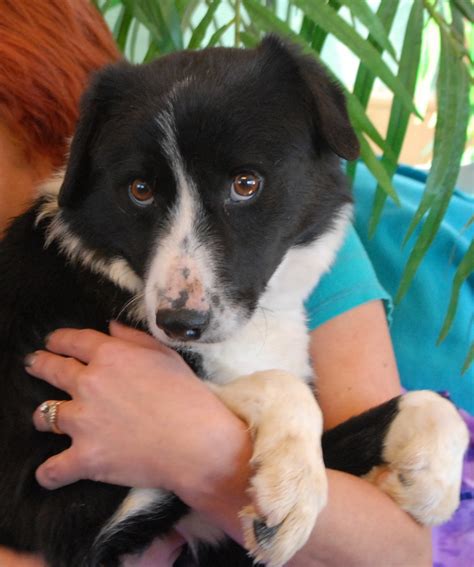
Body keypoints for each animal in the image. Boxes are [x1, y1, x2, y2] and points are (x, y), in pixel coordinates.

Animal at [0, 36, 468, 567]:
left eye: (246, 184)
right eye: (139, 190)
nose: (180, 323)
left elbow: (434, 404)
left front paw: (432, 484)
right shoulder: (57, 512)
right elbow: (276, 388)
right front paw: (294, 487)